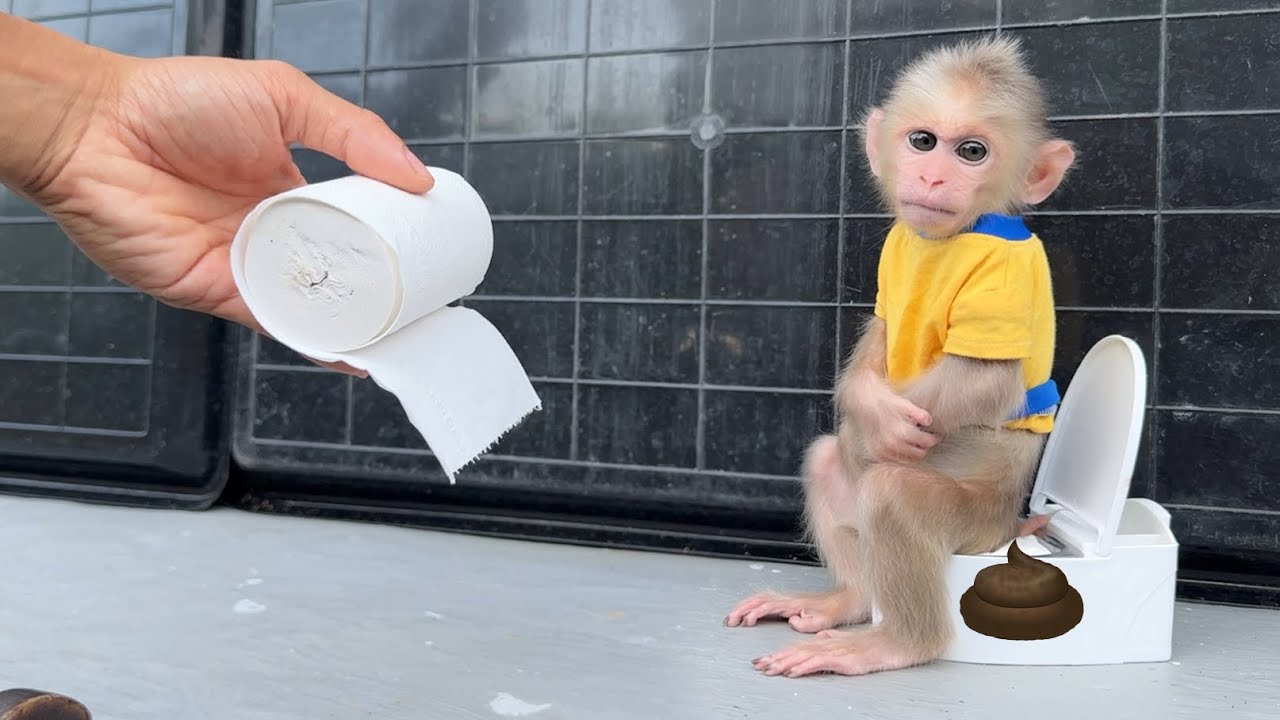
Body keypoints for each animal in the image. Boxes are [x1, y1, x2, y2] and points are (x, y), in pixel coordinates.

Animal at [724, 34, 1076, 677]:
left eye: (971, 151)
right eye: (923, 141)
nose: (933, 177)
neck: (951, 238)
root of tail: (1010, 522)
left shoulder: (1002, 271)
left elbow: (987, 381)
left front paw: (875, 433)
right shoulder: (895, 249)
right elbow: (880, 342)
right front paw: (867, 408)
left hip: (976, 523)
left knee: (892, 493)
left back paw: (894, 643)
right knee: (827, 461)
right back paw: (849, 600)